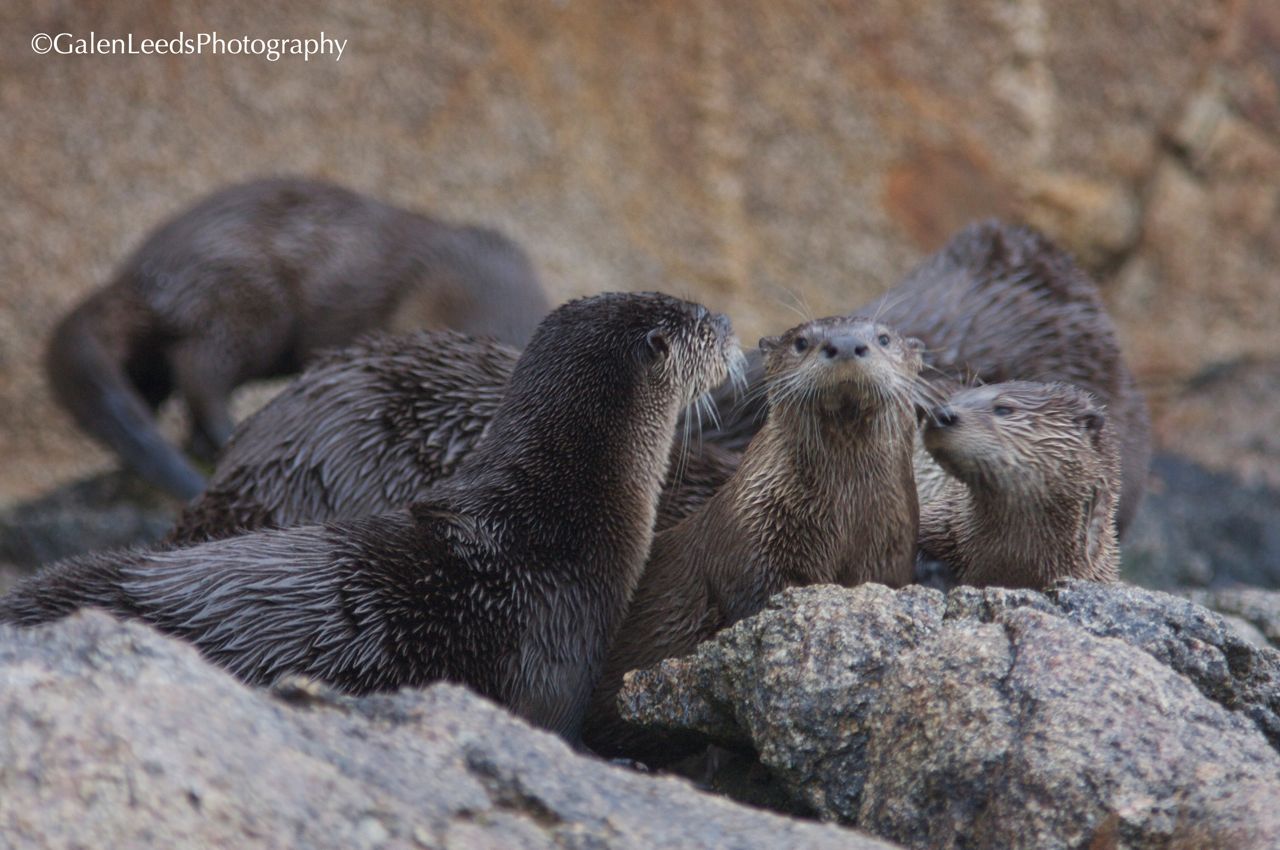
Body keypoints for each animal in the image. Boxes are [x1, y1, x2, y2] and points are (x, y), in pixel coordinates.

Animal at [581, 315, 925, 760]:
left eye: (883, 338)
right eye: (801, 342)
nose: (847, 345)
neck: (845, 522)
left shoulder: (890, 556)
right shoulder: (754, 547)